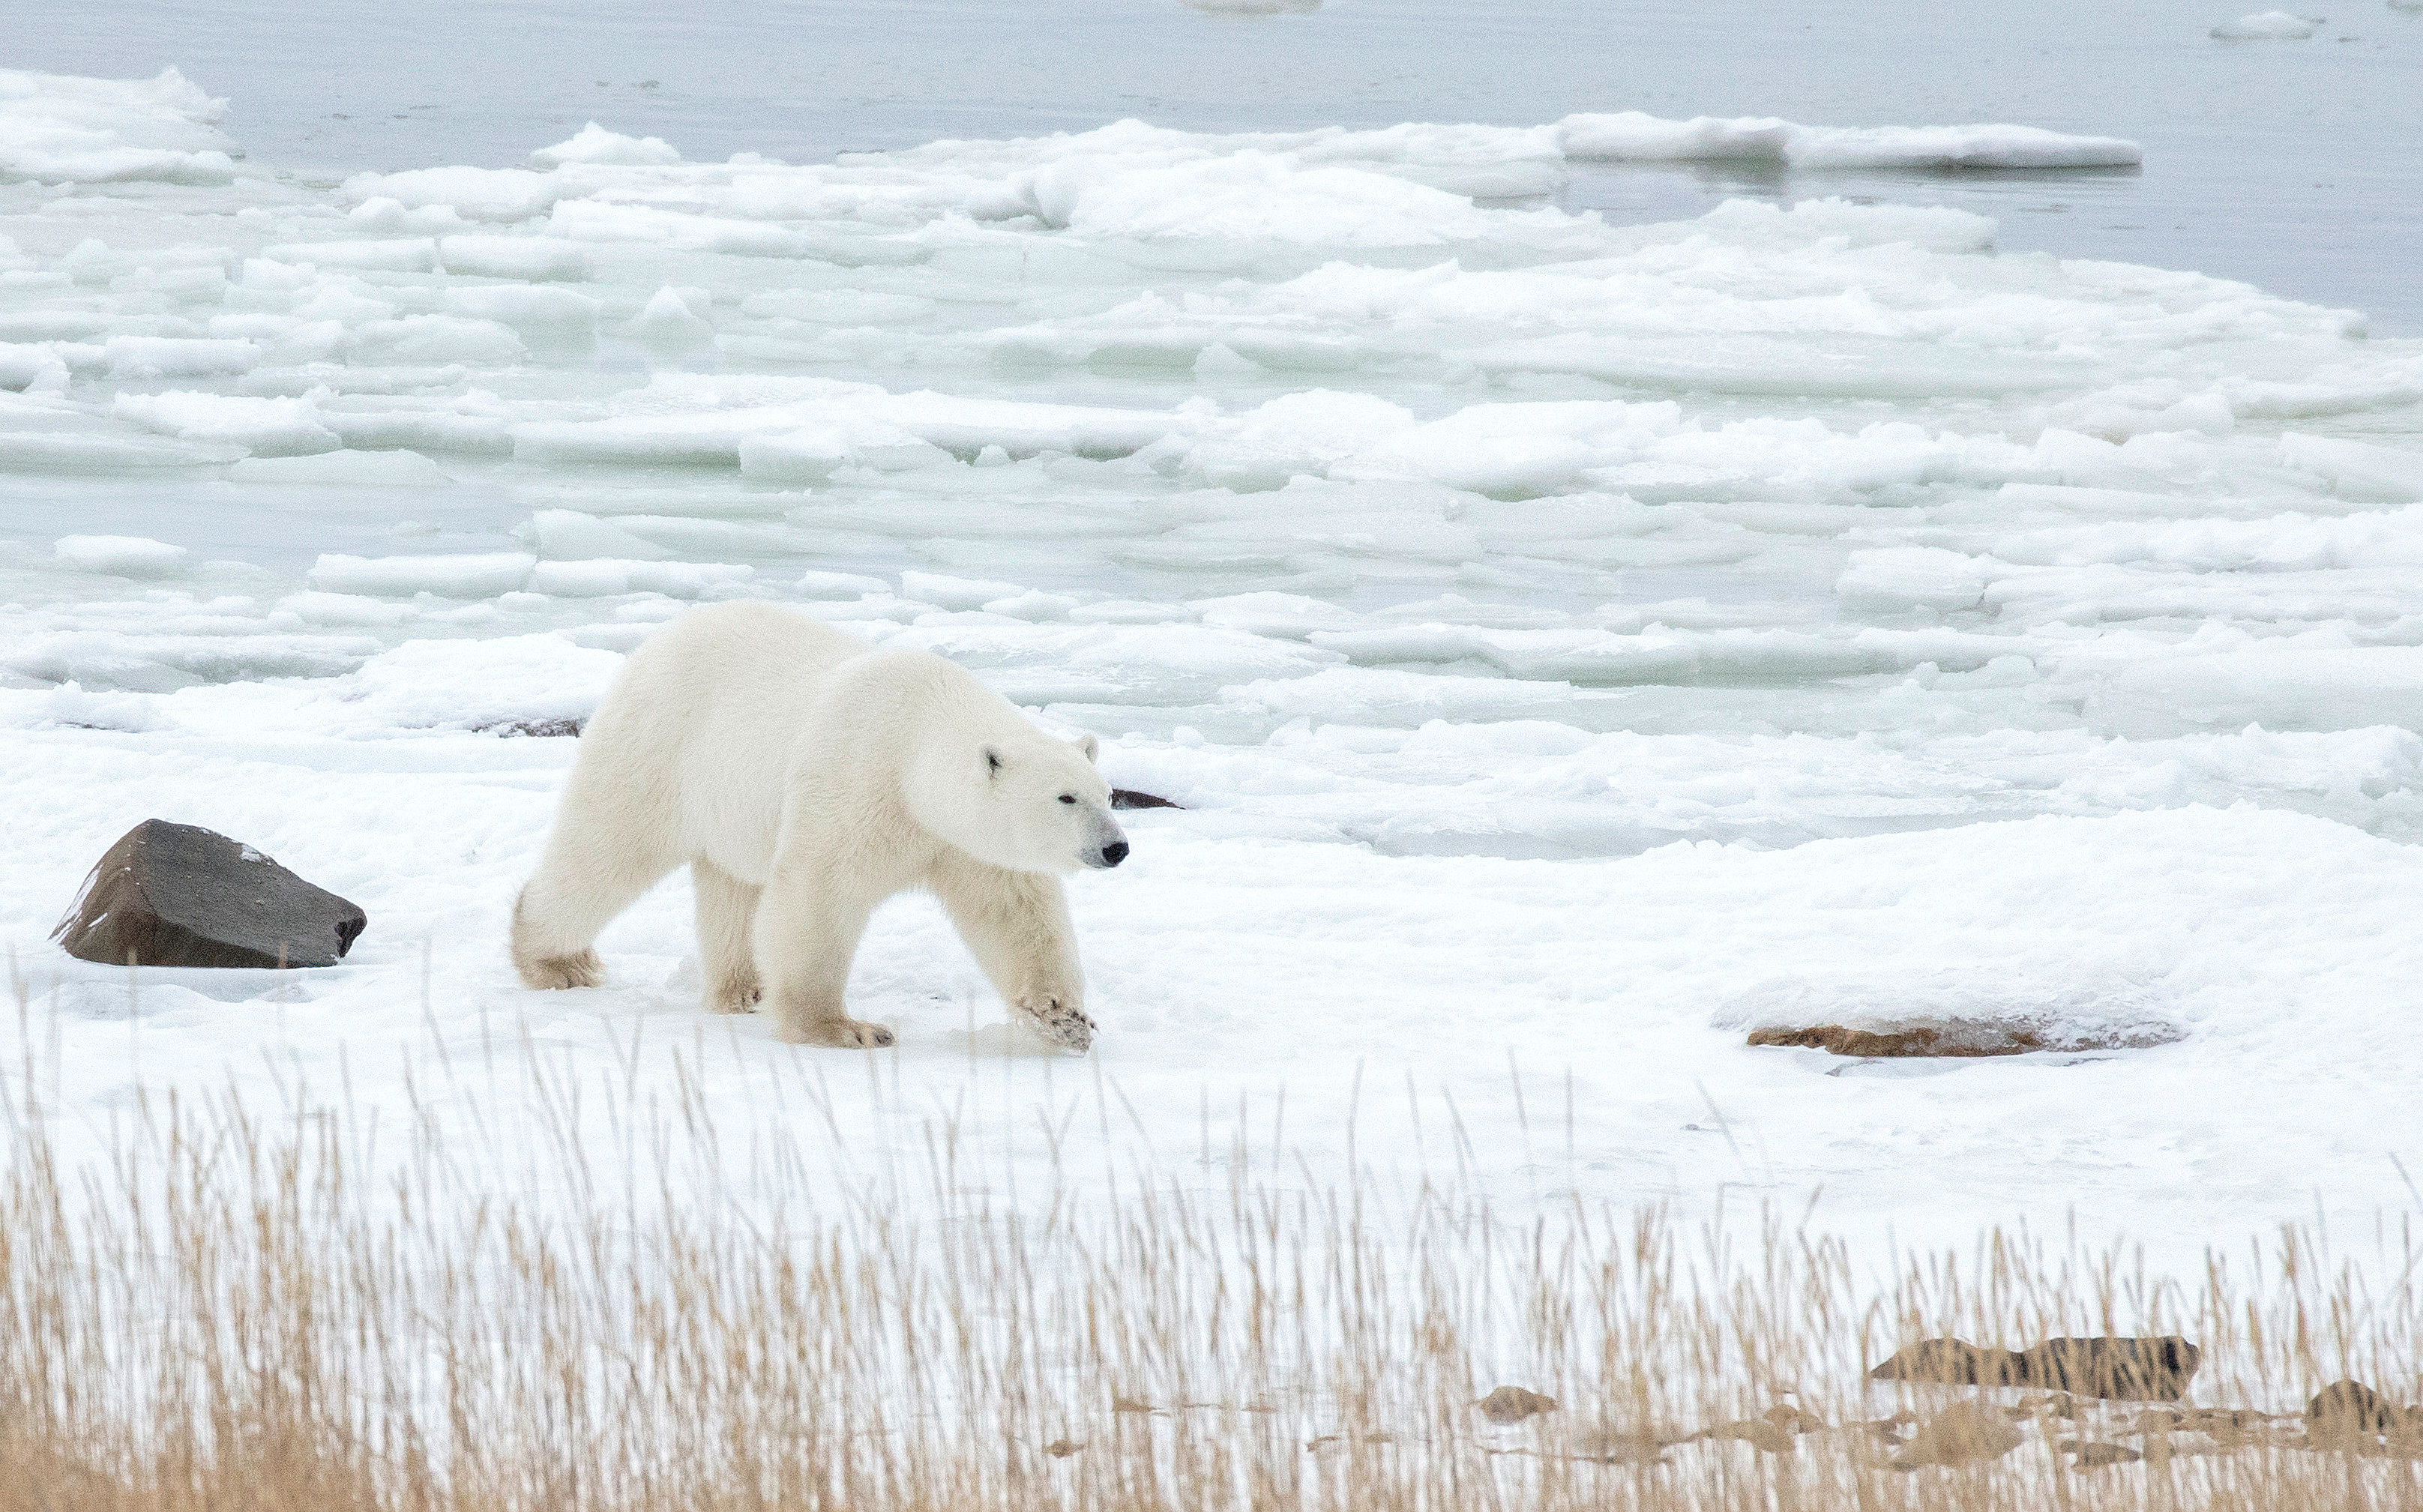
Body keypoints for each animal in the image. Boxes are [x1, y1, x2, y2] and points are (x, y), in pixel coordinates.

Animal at [509, 600, 1126, 1051]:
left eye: (1107, 794)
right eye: (1066, 797)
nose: (1116, 848)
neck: (916, 738)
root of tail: (662, 638)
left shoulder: (966, 842)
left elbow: (1016, 915)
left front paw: (1065, 1019)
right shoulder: (857, 781)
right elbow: (819, 894)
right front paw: (844, 1028)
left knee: (733, 888)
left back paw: (745, 989)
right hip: (659, 747)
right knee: (606, 849)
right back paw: (557, 961)